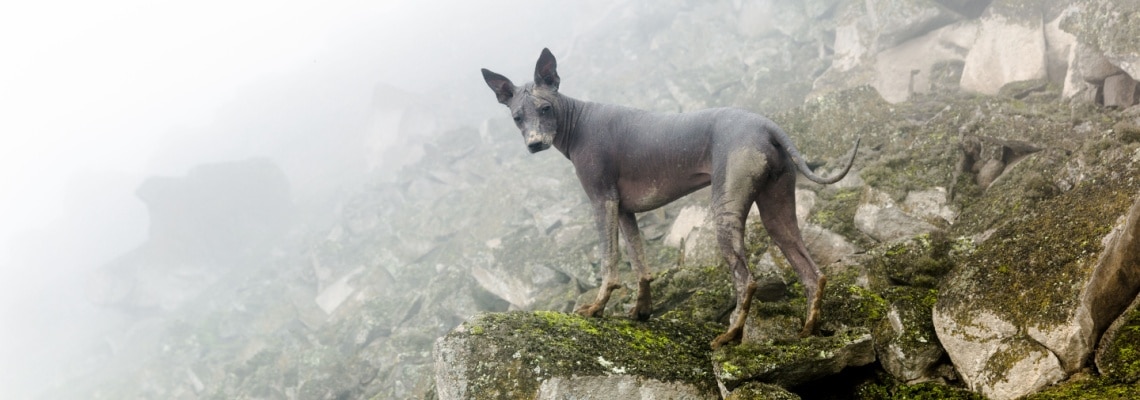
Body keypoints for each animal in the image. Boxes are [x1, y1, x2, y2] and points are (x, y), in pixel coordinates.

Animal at [476, 47, 857, 348]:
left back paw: (731, 334)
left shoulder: (603, 203)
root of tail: (765, 125)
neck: (579, 121)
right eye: (517, 117)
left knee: (746, 279)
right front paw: (641, 310)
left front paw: (596, 309)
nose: (534, 144)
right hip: (777, 213)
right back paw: (808, 328)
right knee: (813, 274)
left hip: (725, 211)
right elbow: (641, 264)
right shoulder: (625, 211)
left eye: (545, 109)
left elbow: (609, 263)